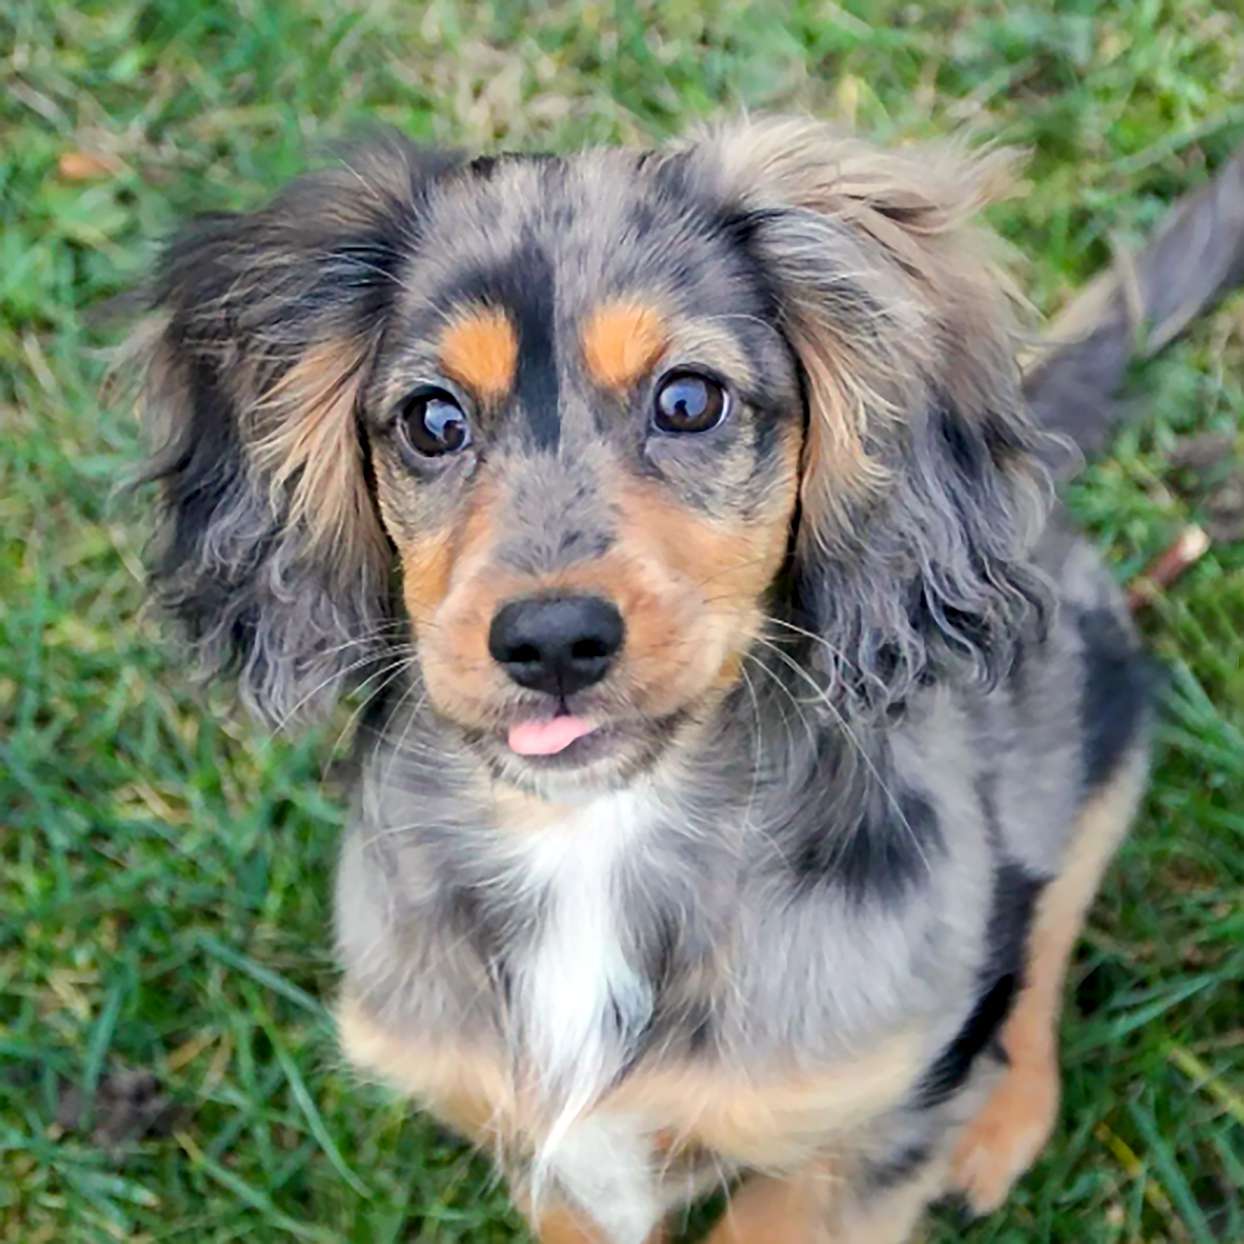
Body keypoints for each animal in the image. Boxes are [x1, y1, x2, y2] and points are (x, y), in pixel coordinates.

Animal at [126, 118, 1234, 1244]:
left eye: (689, 400)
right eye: (432, 420)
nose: (551, 640)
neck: (588, 837)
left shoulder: (857, 1135)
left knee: (1044, 929)